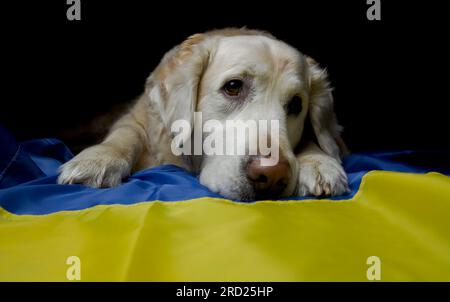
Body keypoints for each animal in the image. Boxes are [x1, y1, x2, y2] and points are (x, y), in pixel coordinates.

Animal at [58, 28, 350, 201]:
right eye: (233, 87)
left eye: (296, 105)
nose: (272, 176)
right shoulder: (137, 118)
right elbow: (126, 133)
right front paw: (99, 159)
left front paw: (320, 162)